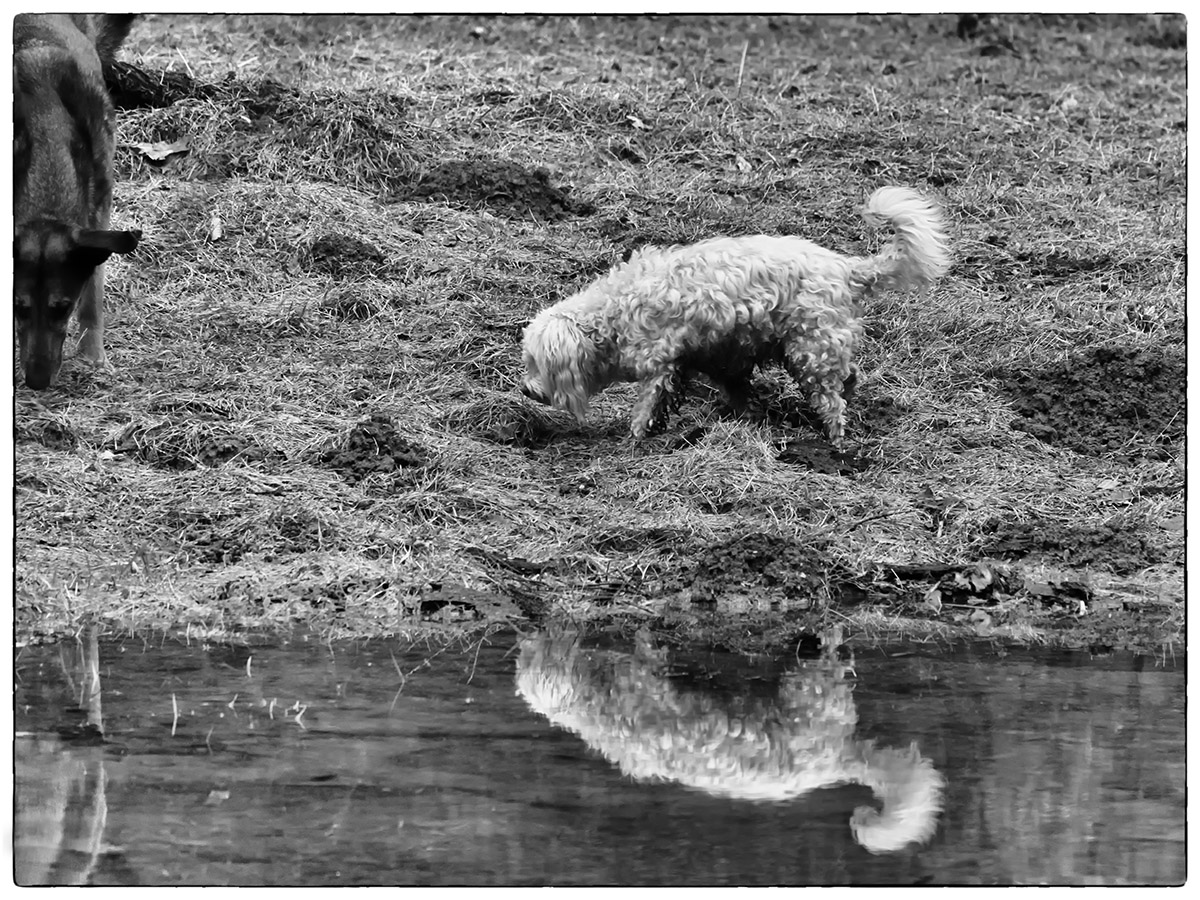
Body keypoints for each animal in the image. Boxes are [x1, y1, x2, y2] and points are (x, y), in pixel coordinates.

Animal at [14, 13, 140, 388]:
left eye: (63, 308)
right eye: (19, 308)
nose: (36, 381)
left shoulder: (98, 212)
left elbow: (93, 293)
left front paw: (92, 355)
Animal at [520, 187, 950, 448]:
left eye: (538, 364)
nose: (526, 390)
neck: (614, 311)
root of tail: (848, 269)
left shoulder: (661, 365)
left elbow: (647, 407)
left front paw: (636, 437)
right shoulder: (717, 357)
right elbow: (737, 390)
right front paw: (741, 418)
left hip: (811, 349)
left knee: (832, 401)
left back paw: (834, 440)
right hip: (823, 346)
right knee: (849, 378)